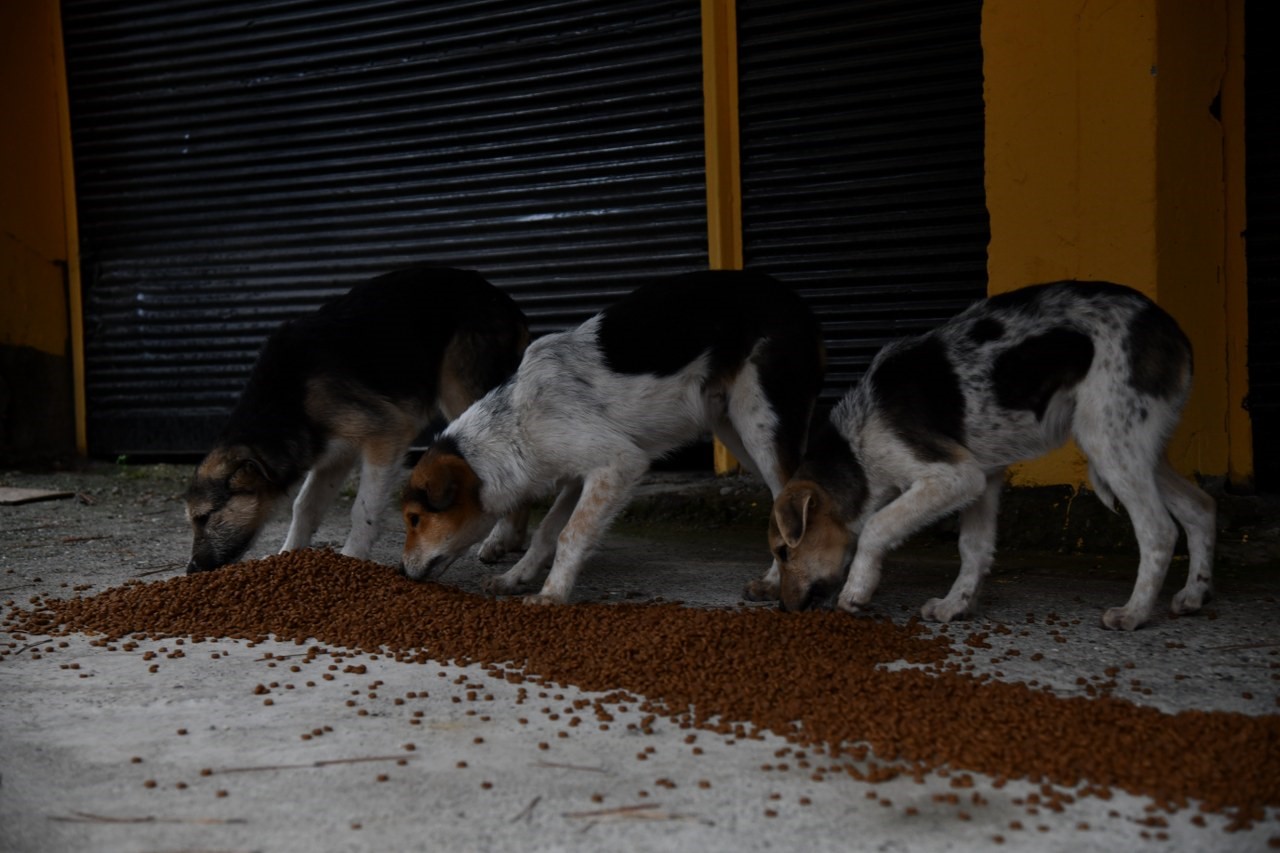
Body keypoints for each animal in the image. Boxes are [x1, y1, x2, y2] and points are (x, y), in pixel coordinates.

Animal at [185, 266, 529, 571]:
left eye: (204, 517)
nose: (191, 570)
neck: (288, 401)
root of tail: (502, 298)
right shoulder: (334, 453)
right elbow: (304, 505)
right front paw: (287, 553)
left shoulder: (387, 432)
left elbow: (363, 507)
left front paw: (352, 556)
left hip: (461, 388)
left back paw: (501, 538)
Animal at [396, 268, 829, 601]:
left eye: (415, 519)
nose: (399, 571)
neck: (515, 423)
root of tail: (798, 302)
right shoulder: (580, 474)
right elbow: (547, 532)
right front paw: (515, 577)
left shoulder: (619, 464)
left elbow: (571, 534)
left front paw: (552, 594)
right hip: (735, 430)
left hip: (760, 422)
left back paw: (775, 583)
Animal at [762, 277, 1213, 625]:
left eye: (784, 551)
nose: (783, 609)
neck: (856, 448)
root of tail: (1171, 327)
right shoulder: (983, 479)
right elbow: (973, 549)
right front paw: (955, 605)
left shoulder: (953, 476)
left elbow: (877, 525)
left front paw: (857, 590)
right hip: (1138, 448)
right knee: (1199, 507)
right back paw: (1194, 595)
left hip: (1108, 441)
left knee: (1158, 529)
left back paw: (1134, 613)